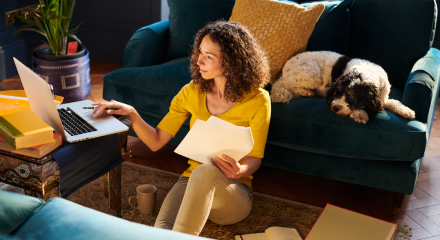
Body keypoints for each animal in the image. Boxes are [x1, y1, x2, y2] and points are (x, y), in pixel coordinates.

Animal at [270, 50, 414, 124]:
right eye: (337, 92)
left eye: (352, 96)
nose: (335, 107)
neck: (366, 73)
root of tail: (283, 71)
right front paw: (361, 114)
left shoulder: (382, 98)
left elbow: (394, 102)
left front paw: (407, 111)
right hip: (311, 74)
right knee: (290, 87)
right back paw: (306, 92)